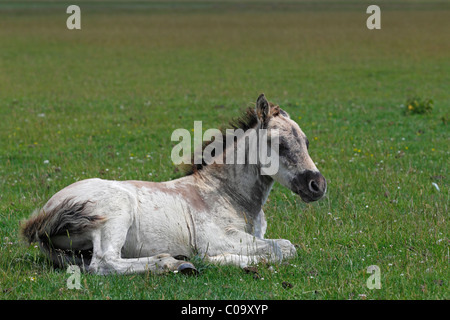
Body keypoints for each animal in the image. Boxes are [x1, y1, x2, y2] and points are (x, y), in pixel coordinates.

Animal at [21, 93, 326, 276]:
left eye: (306, 142)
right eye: (280, 144)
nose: (318, 185)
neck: (226, 194)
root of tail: (45, 213)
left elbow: (279, 247)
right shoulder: (217, 238)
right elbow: (283, 248)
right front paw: (214, 260)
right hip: (116, 214)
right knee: (104, 262)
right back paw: (174, 262)